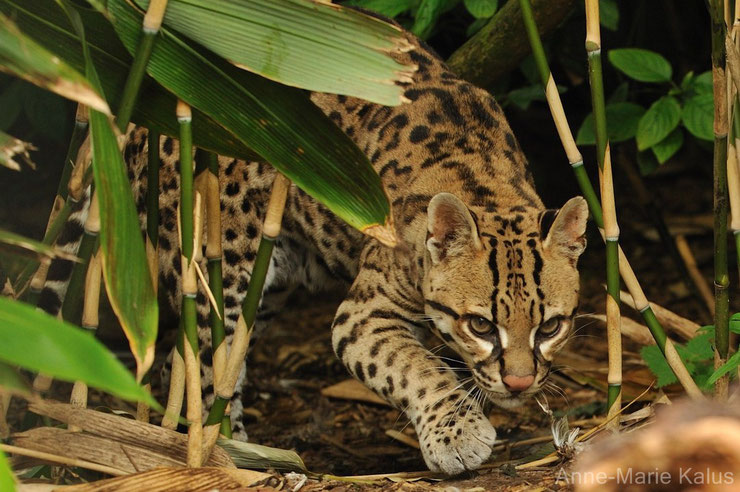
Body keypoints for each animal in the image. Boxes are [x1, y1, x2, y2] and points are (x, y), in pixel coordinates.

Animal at [40, 22, 588, 472]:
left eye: (550, 327)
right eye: (481, 326)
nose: (520, 384)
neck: (487, 187)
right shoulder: (362, 316)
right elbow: (417, 368)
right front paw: (458, 434)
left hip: (267, 288)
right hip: (217, 266)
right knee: (199, 364)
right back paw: (232, 455)